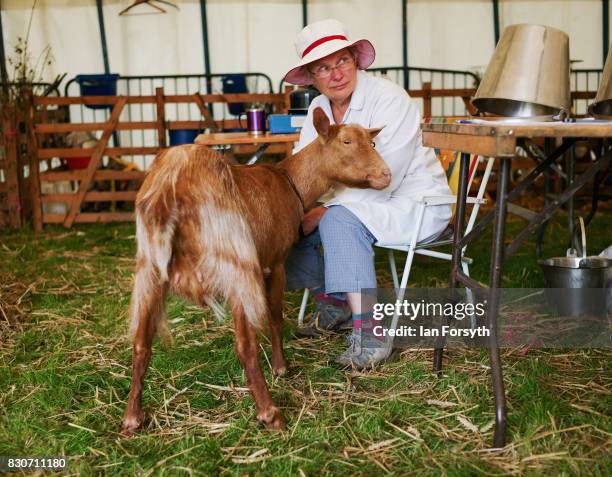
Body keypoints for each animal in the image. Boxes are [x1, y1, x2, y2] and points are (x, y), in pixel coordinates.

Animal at [121, 106, 390, 434]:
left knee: (141, 343)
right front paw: (281, 367)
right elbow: (274, 317)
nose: (386, 175)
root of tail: (173, 182)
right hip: (235, 262)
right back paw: (270, 412)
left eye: (372, 142)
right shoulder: (274, 263)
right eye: (347, 142)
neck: (291, 182)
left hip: (150, 267)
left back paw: (132, 417)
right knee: (244, 345)